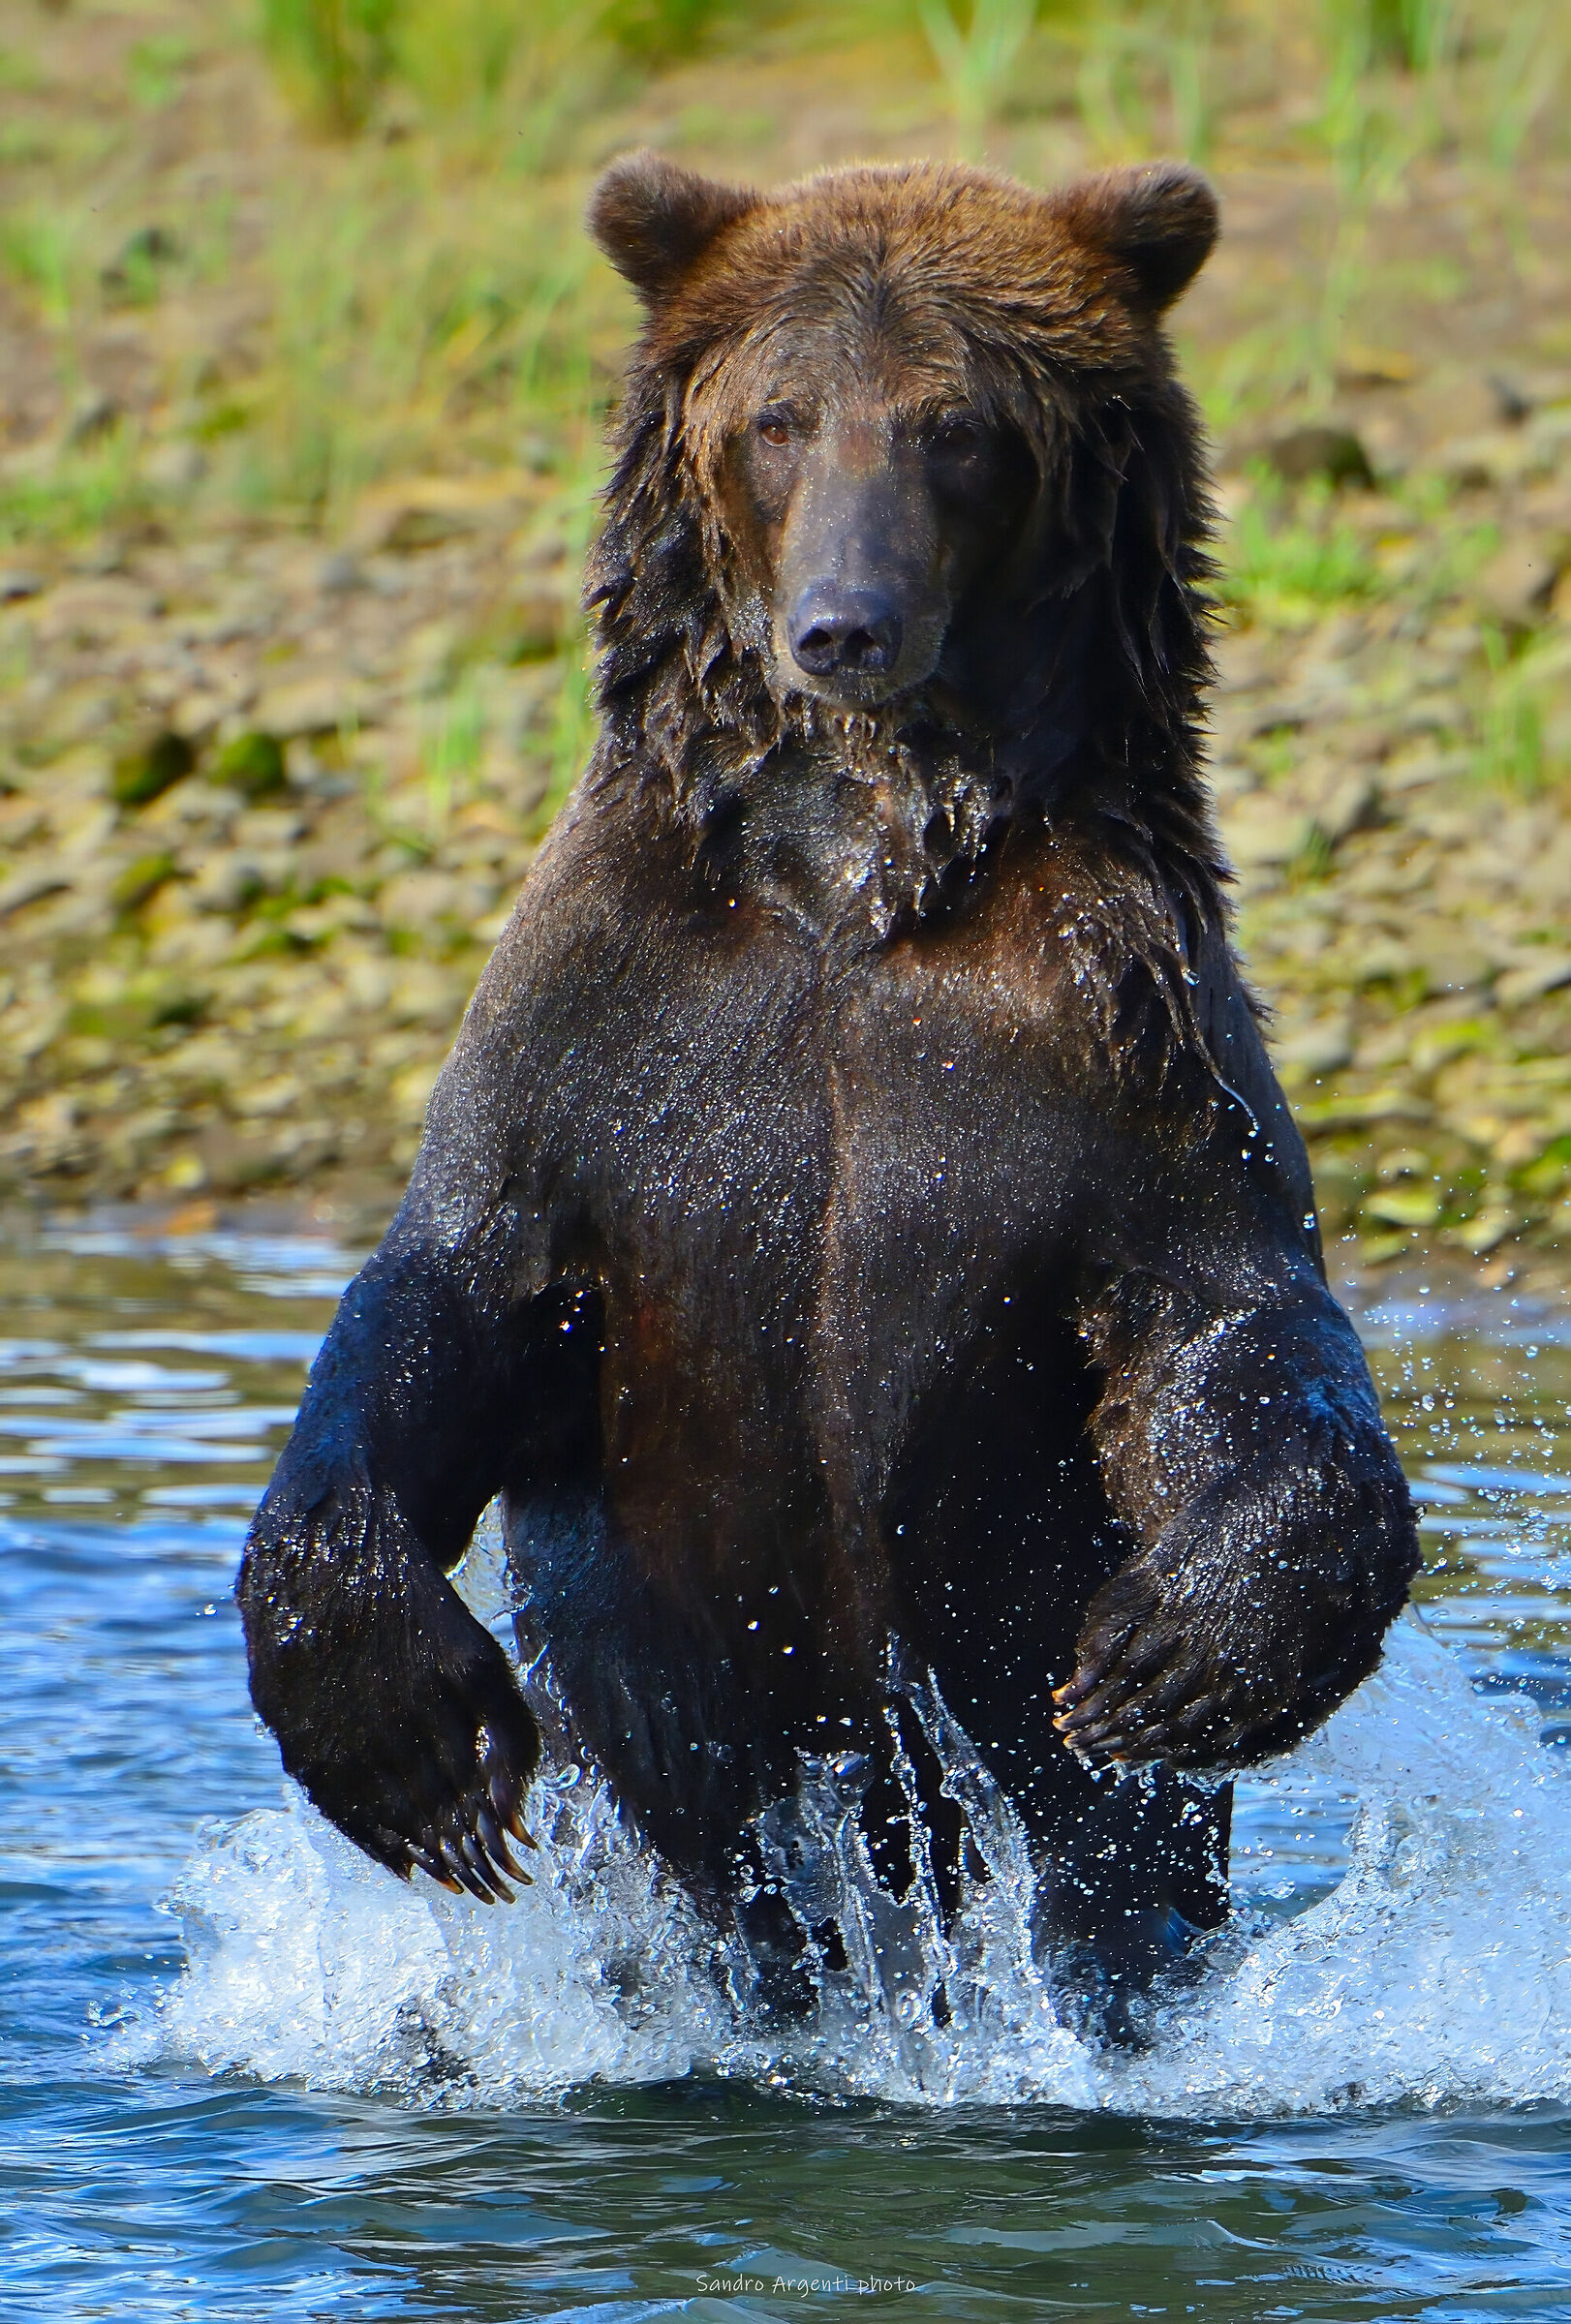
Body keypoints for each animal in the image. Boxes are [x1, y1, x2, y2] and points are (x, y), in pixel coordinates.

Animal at [238, 152, 1419, 2032]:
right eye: (779, 419)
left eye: (955, 427)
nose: (842, 625)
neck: (853, 880)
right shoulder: (608, 1034)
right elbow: (452, 1294)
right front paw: (410, 1740)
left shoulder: (1115, 1049)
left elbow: (1224, 1328)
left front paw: (1175, 1655)